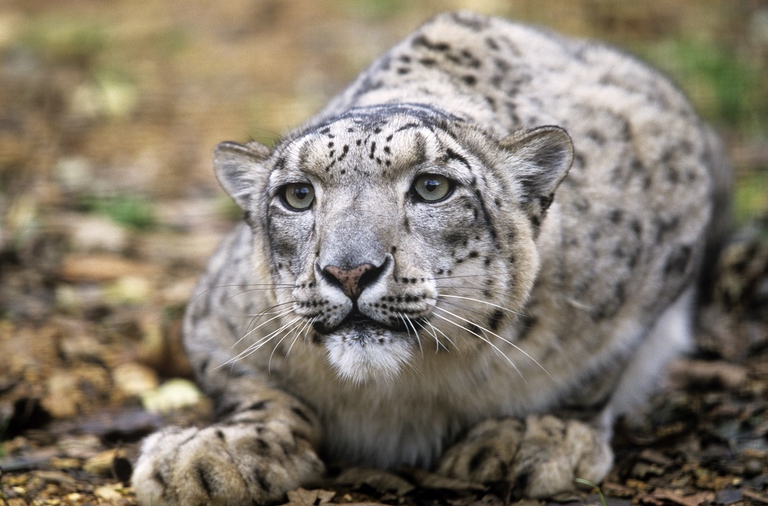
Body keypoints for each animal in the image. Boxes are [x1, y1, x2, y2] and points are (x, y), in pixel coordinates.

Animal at [131, 11, 730, 505]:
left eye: (432, 187)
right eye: (297, 195)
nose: (350, 272)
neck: (405, 393)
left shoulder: (654, 263)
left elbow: (596, 371)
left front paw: (532, 435)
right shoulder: (215, 319)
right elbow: (248, 384)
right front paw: (210, 455)